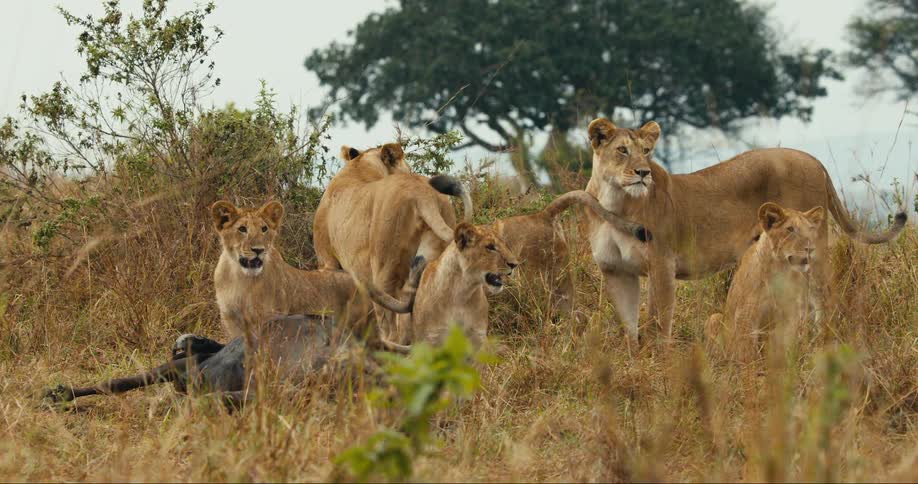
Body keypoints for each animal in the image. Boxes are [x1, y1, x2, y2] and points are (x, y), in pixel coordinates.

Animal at [583, 118, 907, 342]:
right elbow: (629, 324)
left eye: (647, 151)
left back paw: (819, 343)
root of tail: (814, 160)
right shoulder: (616, 270)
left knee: (824, 298)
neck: (616, 202)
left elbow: (658, 323)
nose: (644, 172)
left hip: (813, 252)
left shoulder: (662, 264)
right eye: (622, 150)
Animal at [706, 202, 825, 361]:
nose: (810, 249)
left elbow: (784, 348)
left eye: (811, 229)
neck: (781, 270)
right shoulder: (746, 314)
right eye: (790, 229)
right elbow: (747, 352)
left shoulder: (790, 316)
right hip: (714, 318)